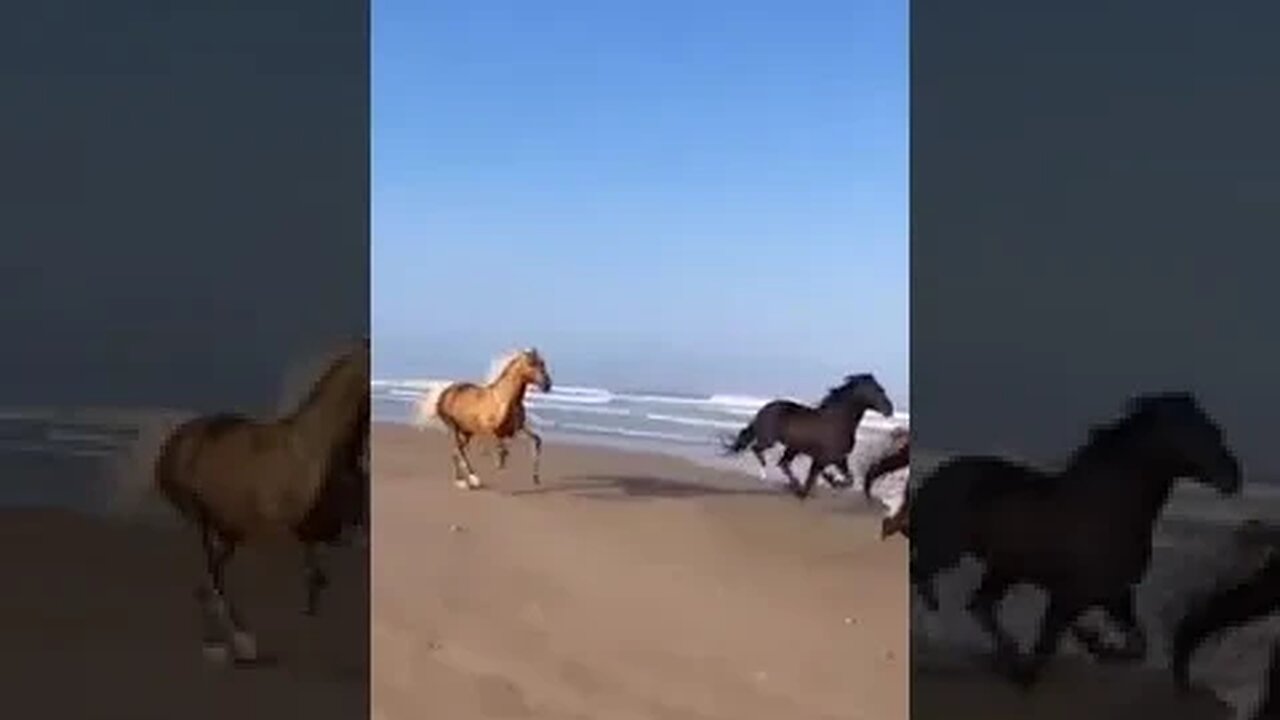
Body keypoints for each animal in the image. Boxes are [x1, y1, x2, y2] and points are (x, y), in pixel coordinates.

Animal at [153, 338, 371, 666]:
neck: (314, 449)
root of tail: (175, 443)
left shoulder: (335, 531)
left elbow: (320, 575)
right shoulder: (296, 531)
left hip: (228, 527)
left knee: (212, 578)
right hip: (206, 520)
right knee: (212, 579)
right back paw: (231, 643)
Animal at [409, 345, 550, 486]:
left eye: (542, 363)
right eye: (531, 363)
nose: (547, 385)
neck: (505, 400)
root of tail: (444, 393)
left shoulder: (518, 428)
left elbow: (536, 440)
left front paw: (535, 477)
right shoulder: (490, 429)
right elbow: (500, 446)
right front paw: (499, 461)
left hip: (466, 432)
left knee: (456, 452)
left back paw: (460, 480)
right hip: (454, 428)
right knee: (460, 451)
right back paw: (473, 478)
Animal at [727, 371, 896, 497]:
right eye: (878, 390)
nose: (890, 409)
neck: (838, 421)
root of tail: (764, 409)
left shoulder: (839, 459)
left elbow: (849, 480)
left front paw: (831, 480)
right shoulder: (822, 459)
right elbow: (812, 479)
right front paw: (826, 481)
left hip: (793, 448)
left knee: (783, 463)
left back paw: (794, 484)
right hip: (770, 440)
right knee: (758, 449)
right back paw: (766, 471)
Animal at [911, 392, 1239, 681]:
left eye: (1214, 429)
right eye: (1190, 431)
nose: (1233, 476)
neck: (1109, 510)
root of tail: (934, 478)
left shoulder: (1115, 595)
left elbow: (1137, 646)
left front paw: (1094, 643)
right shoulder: (1068, 595)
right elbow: (1045, 647)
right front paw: (1074, 647)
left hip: (1002, 569)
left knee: (979, 605)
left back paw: (1006, 651)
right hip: (948, 552)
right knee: (924, 576)